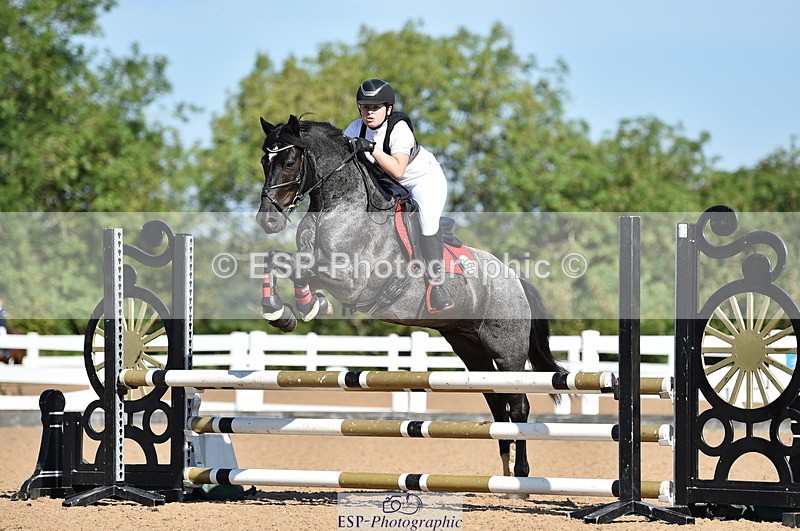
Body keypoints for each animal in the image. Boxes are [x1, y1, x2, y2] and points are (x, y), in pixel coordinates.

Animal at [255, 114, 564, 480]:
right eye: (264, 162)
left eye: (289, 162)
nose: (267, 220)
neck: (342, 204)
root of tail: (514, 279)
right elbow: (278, 260)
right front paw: (286, 311)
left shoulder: (353, 281)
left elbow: (297, 267)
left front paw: (304, 305)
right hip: (471, 348)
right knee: (497, 407)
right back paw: (503, 472)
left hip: (507, 352)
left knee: (518, 406)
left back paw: (521, 474)